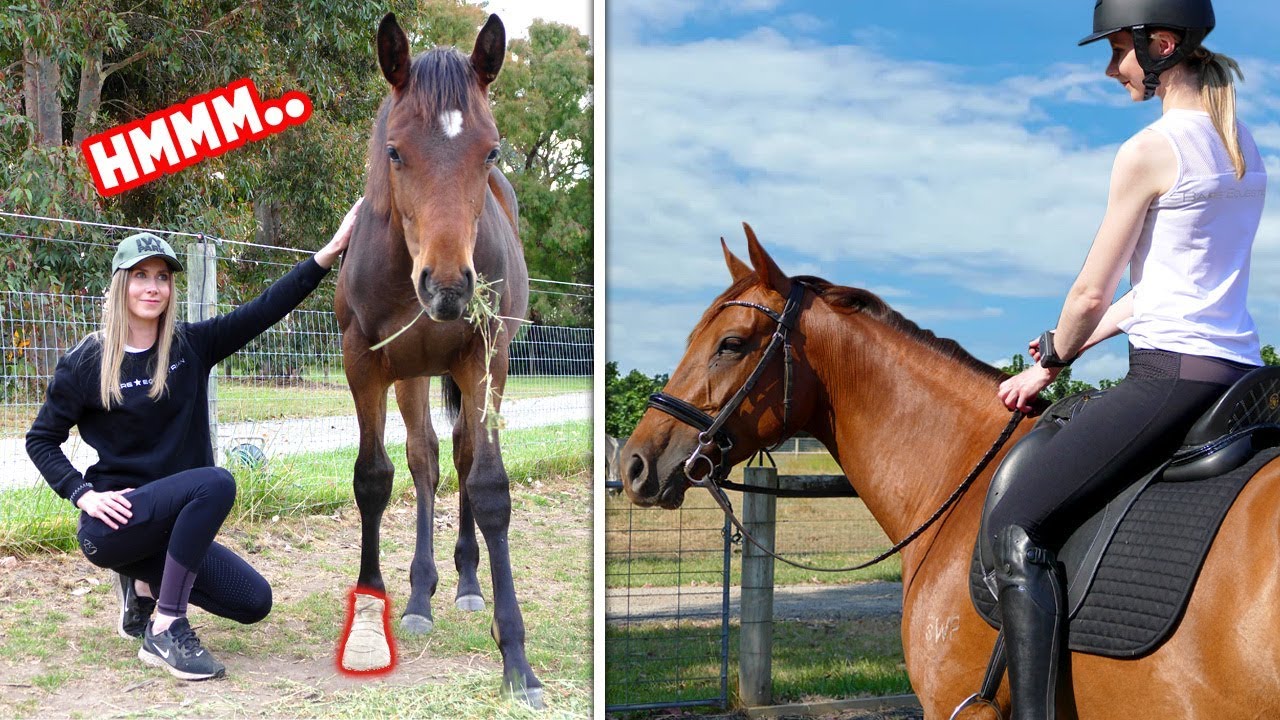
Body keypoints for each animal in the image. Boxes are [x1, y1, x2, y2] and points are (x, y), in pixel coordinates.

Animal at [333, 13, 540, 705]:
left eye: (491, 151)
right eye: (396, 151)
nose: (448, 287)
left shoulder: (486, 359)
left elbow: (490, 486)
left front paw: (517, 659)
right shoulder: (365, 365)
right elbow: (373, 478)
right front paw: (372, 616)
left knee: (462, 457)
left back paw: (467, 585)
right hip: (412, 376)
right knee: (424, 460)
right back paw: (420, 595)